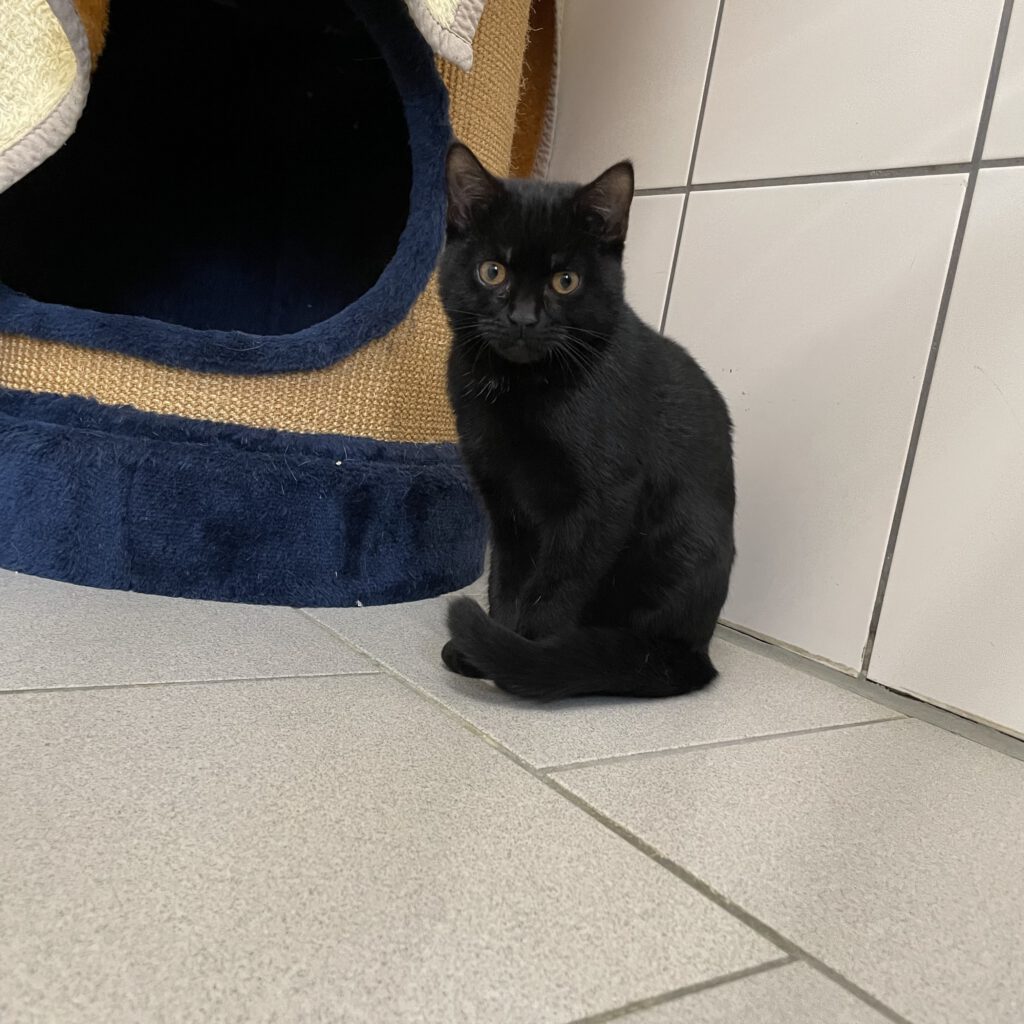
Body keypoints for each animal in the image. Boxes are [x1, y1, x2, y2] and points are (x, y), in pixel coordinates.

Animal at [438, 141, 735, 700]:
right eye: (493, 272)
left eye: (566, 281)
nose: (523, 319)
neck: (520, 390)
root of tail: (698, 653)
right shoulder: (503, 500)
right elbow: (508, 579)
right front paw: (492, 640)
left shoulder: (601, 502)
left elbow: (554, 587)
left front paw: (519, 655)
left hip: (678, 547)